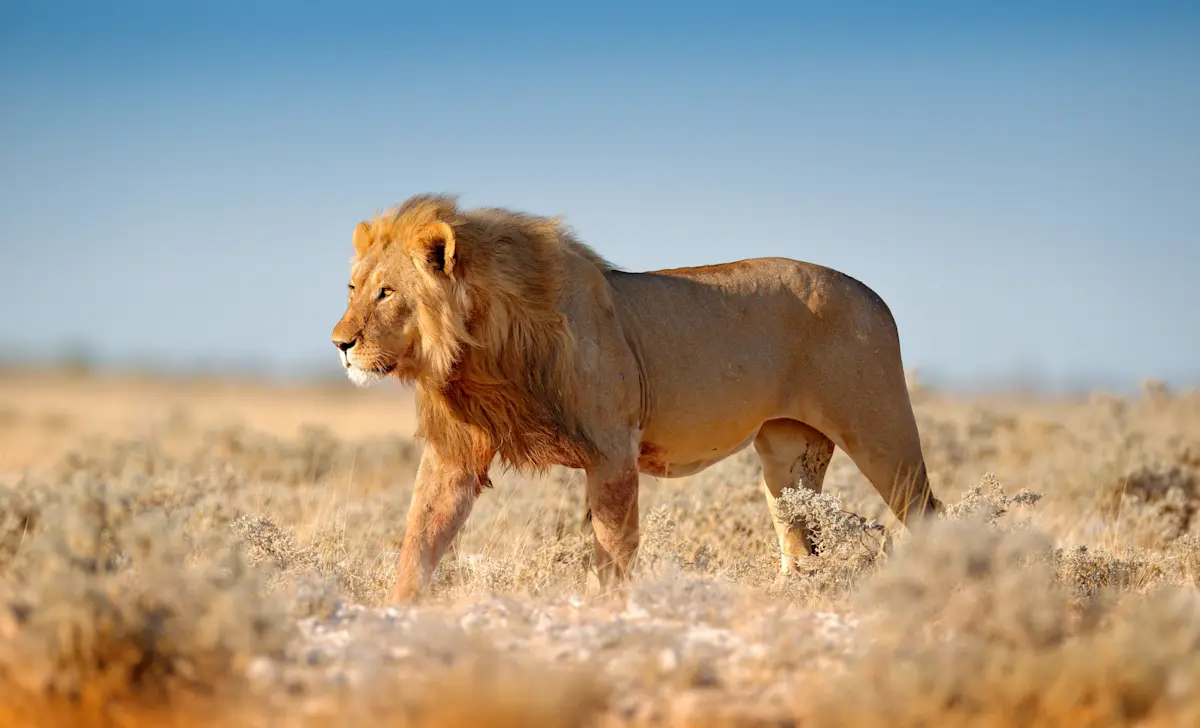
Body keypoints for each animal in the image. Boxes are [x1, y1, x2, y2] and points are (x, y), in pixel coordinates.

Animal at [331, 194, 944, 602]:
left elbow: (612, 547)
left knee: (927, 511)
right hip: (788, 454)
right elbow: (420, 536)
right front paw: (395, 615)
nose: (340, 344)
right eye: (353, 288)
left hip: (881, 430)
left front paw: (611, 610)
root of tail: (876, 297)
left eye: (387, 293)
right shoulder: (454, 453)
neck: (477, 352)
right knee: (799, 541)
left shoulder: (612, 450)